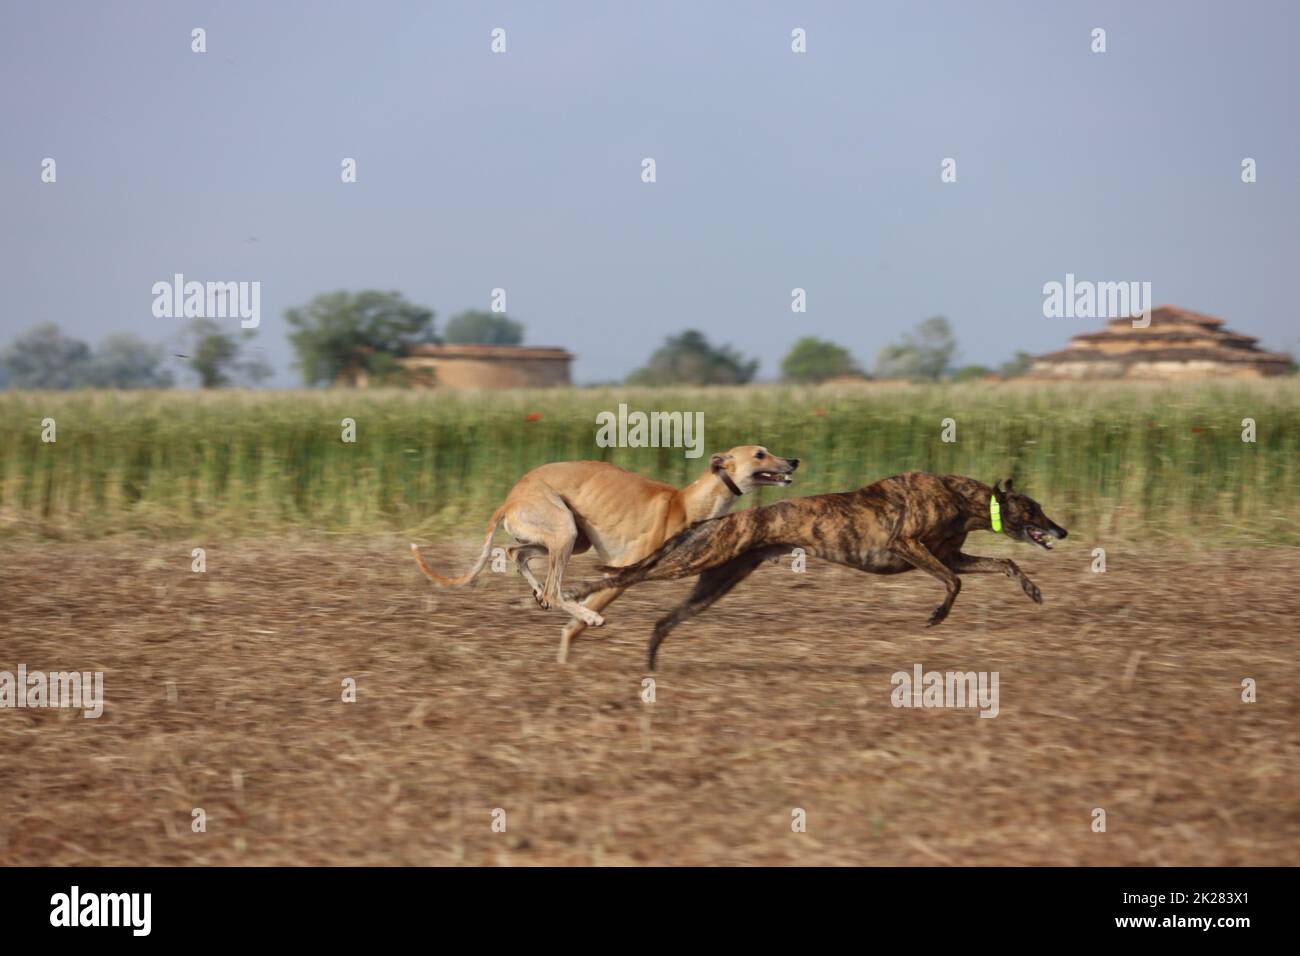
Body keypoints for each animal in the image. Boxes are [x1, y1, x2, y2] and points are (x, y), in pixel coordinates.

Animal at [410, 447, 795, 658]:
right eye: (759, 453)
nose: (793, 461)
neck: (685, 503)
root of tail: (512, 495)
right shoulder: (624, 570)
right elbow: (582, 618)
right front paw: (572, 641)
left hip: (571, 537)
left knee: (515, 553)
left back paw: (540, 596)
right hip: (564, 530)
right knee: (551, 584)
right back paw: (572, 607)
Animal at [577, 476, 1066, 671]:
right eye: (1034, 509)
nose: (1062, 530)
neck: (962, 497)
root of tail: (720, 519)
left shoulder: (951, 554)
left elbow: (1003, 564)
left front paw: (1033, 590)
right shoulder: (906, 545)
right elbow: (954, 581)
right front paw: (937, 615)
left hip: (714, 582)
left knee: (663, 619)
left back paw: (651, 659)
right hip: (697, 561)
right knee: (630, 575)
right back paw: (585, 589)